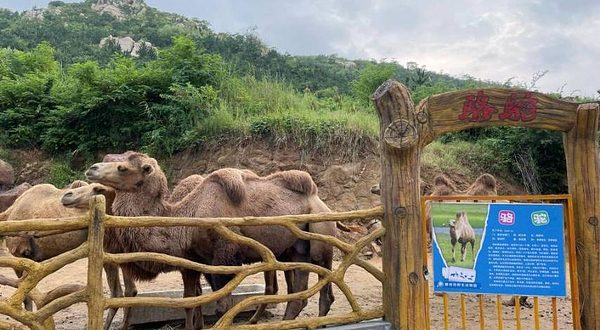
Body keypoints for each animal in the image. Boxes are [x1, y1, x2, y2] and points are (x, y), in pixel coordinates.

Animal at [85, 153, 338, 330]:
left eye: (123, 168)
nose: (91, 169)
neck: (188, 216)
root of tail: (321, 202)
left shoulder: (225, 258)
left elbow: (222, 307)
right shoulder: (205, 262)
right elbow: (198, 302)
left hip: (321, 239)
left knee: (324, 285)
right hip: (296, 249)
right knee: (300, 295)